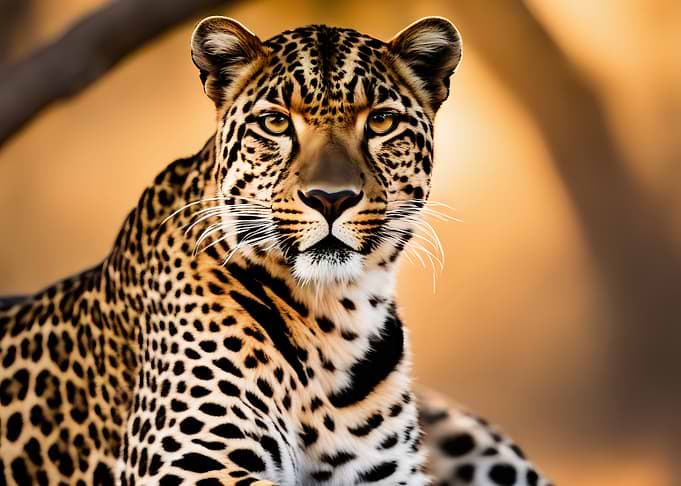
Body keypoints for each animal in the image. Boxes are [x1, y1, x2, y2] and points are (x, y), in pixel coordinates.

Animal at [0, 16, 553, 486]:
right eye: (275, 123)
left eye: (380, 122)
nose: (331, 198)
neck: (338, 317)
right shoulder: (182, 461)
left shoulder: (389, 473)